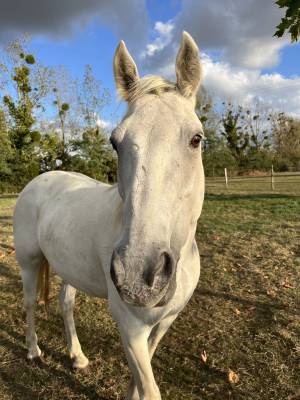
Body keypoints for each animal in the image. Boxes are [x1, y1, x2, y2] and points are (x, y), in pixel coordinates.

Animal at [14, 32, 206, 400]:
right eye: (115, 142)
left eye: (196, 138)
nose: (138, 276)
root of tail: (41, 179)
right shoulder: (129, 327)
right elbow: (149, 388)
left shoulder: (162, 324)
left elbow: (139, 380)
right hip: (29, 262)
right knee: (29, 302)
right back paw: (32, 351)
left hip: (69, 268)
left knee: (65, 303)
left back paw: (77, 357)